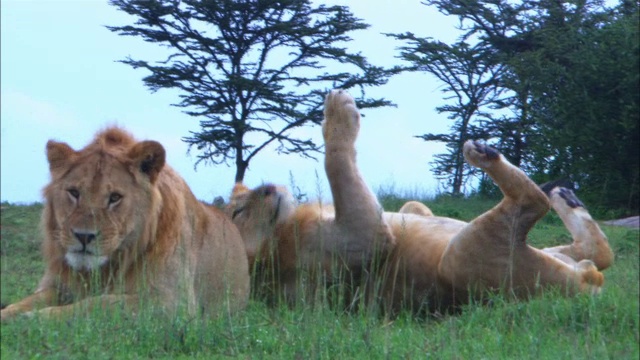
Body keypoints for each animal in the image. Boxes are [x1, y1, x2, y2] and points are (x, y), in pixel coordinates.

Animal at [0, 126, 250, 320]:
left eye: (115, 198)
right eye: (74, 193)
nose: (83, 236)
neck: (103, 269)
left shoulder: (171, 301)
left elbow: (96, 304)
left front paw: (34, 317)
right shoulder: (56, 285)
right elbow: (23, 302)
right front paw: (11, 314)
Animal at [228, 90, 612, 316]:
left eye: (239, 199)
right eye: (238, 211)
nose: (268, 187)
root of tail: (586, 285)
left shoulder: (400, 212)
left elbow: (413, 207)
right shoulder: (360, 240)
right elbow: (335, 161)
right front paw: (337, 110)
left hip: (556, 252)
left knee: (598, 250)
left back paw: (567, 197)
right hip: (460, 260)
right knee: (534, 203)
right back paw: (487, 155)